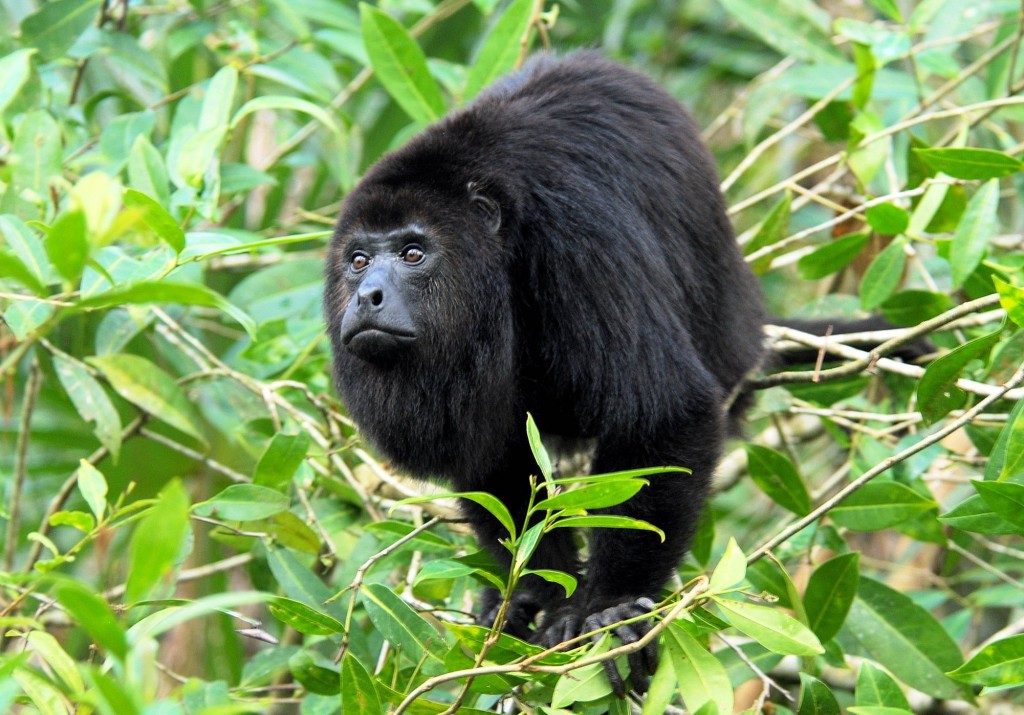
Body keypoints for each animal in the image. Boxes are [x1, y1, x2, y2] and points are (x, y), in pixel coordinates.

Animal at [323, 51, 921, 696]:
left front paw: (610, 609)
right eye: (358, 259)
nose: (367, 294)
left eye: (413, 253)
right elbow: (494, 458)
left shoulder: (576, 235)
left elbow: (664, 412)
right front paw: (539, 598)